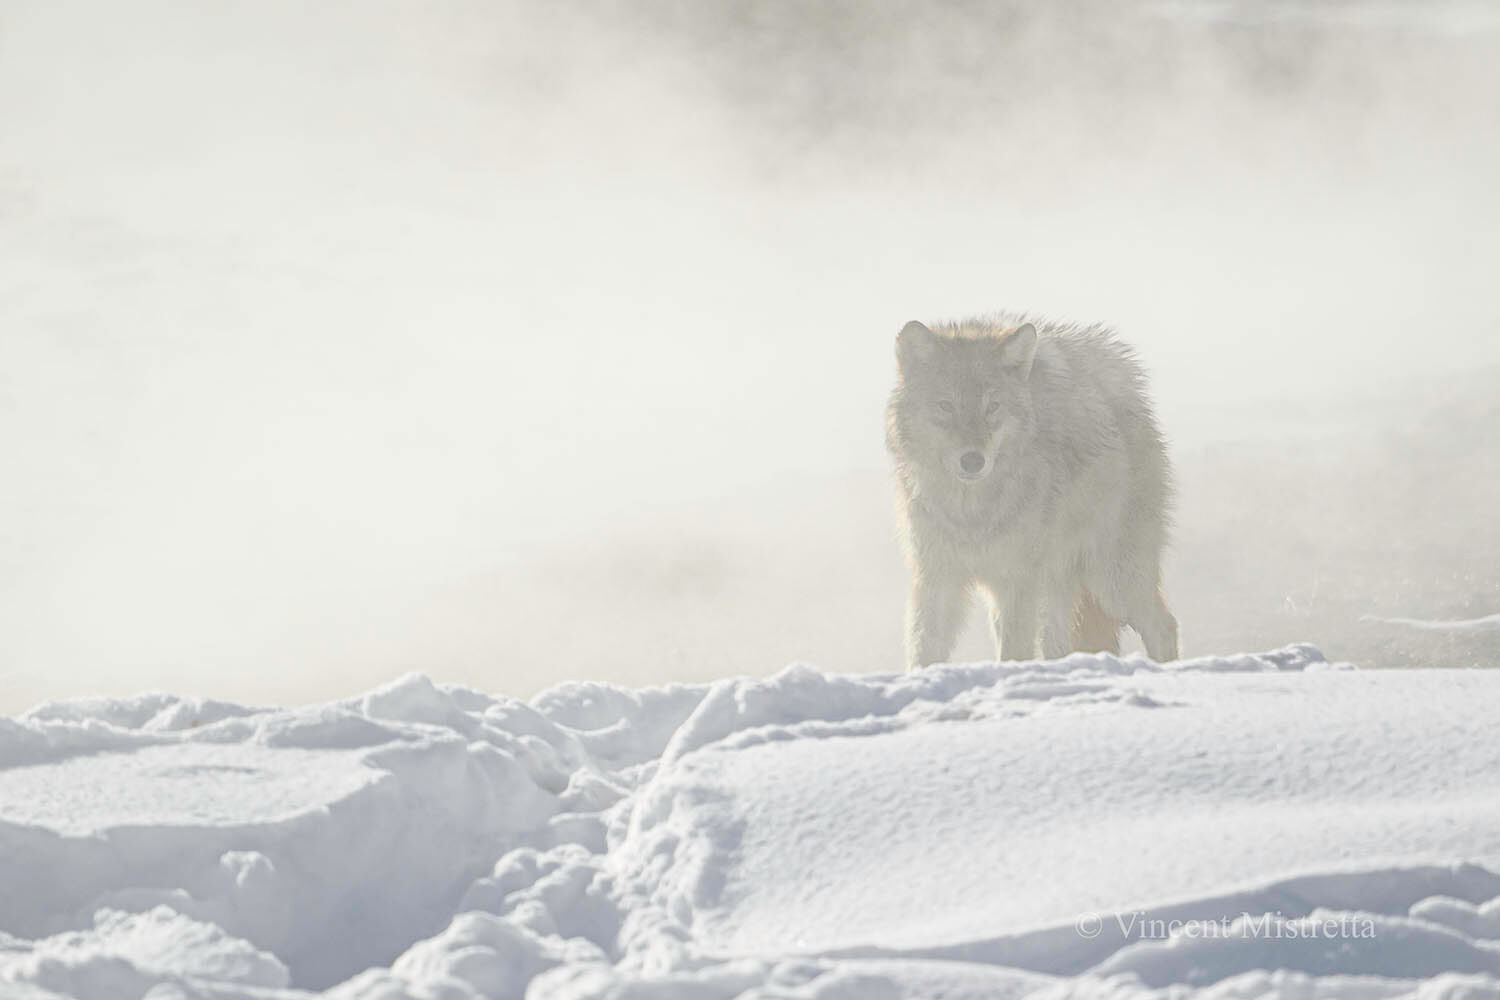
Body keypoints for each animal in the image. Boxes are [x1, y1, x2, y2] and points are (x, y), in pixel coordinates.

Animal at [882, 316, 1176, 668]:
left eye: (993, 407)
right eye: (946, 406)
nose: (973, 460)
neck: (971, 513)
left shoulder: (1016, 582)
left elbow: (1014, 651)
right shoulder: (937, 577)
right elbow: (925, 649)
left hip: (1111, 581)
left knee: (1165, 626)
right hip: (1057, 590)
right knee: (1059, 645)